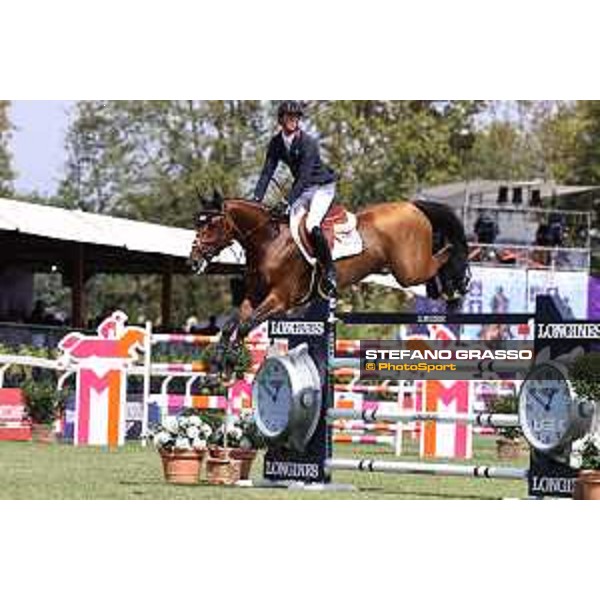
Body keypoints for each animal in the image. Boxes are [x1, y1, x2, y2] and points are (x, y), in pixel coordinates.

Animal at [190, 195, 472, 340]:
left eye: (211, 224)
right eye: (198, 222)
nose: (193, 261)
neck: (268, 242)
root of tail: (413, 205)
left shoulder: (280, 300)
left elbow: (245, 327)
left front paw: (230, 365)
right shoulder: (254, 296)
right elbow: (231, 326)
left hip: (409, 270)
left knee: (447, 251)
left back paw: (458, 286)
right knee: (440, 255)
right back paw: (445, 290)